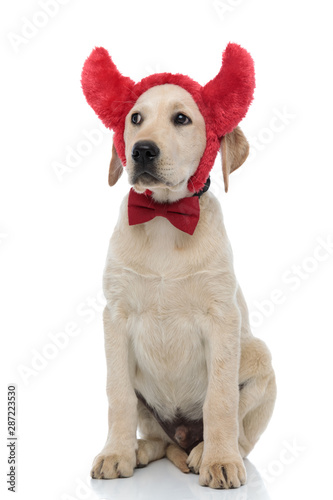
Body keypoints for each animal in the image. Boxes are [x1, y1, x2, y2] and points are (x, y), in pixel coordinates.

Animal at [81, 43, 276, 488]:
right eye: (135, 118)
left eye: (182, 119)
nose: (141, 150)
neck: (164, 219)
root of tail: (181, 437)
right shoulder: (115, 317)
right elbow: (117, 394)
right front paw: (115, 452)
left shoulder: (222, 318)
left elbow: (220, 399)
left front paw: (220, 462)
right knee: (154, 434)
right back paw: (139, 449)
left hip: (260, 360)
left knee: (238, 432)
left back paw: (210, 452)